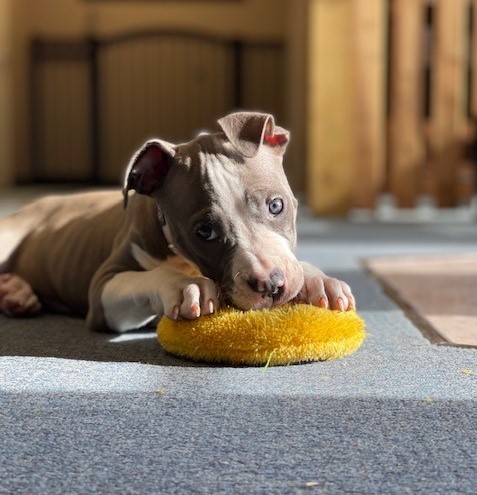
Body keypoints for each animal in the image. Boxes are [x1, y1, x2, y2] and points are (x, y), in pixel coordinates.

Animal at [0, 112, 355, 332]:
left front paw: (318, 280)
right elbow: (151, 276)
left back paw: (15, 292)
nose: (270, 284)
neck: (184, 260)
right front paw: (186, 286)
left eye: (276, 205)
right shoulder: (102, 289)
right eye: (204, 231)